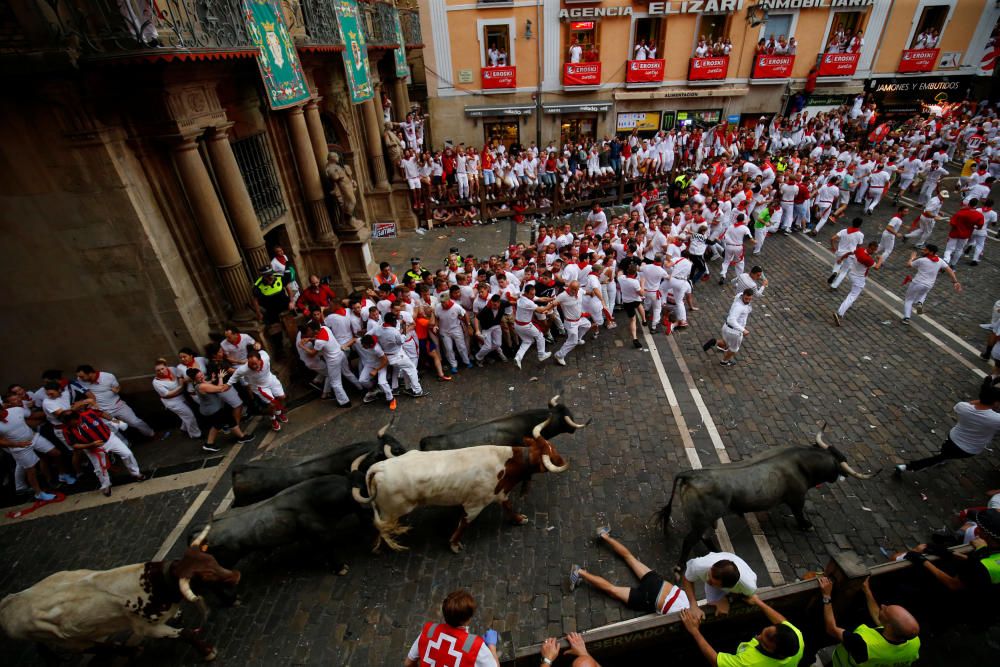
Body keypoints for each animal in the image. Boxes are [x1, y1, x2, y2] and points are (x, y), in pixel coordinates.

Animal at [656, 428, 876, 568]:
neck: (799, 462)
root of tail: (690, 475)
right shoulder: (797, 498)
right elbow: (799, 513)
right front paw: (807, 525)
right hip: (702, 521)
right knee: (690, 540)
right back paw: (680, 568)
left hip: (705, 520)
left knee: (705, 537)